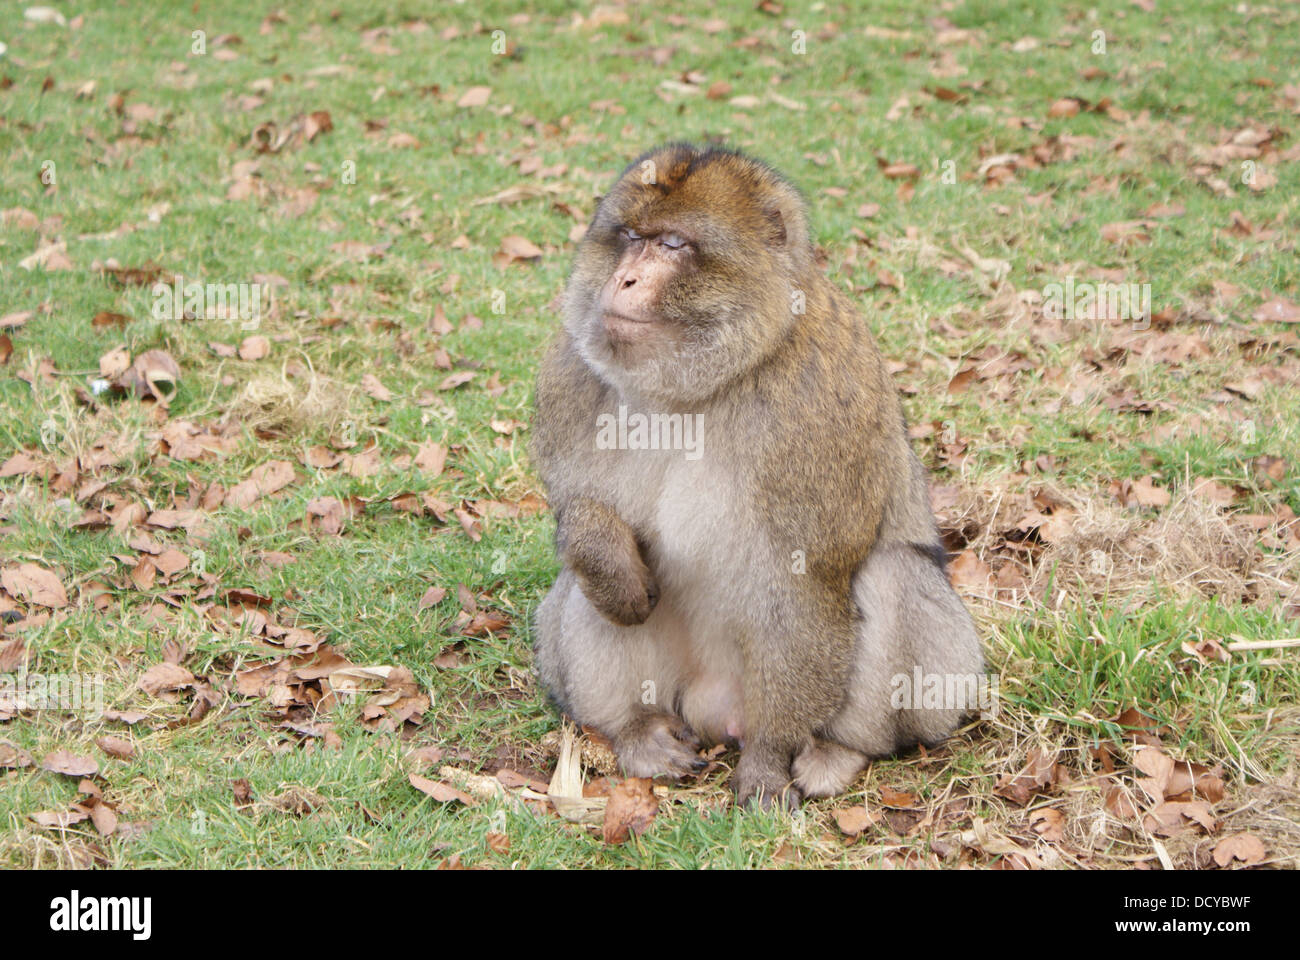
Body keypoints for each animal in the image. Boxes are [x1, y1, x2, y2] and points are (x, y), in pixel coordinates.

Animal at [530, 143, 983, 808]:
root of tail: (714, 712)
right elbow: (576, 513)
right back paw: (634, 731)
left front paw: (768, 762)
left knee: (896, 576)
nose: (623, 280)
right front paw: (605, 555)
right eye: (631, 238)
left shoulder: (817, 405)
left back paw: (837, 751)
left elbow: (803, 583)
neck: (697, 388)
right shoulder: (569, 371)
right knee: (580, 584)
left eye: (673, 244)